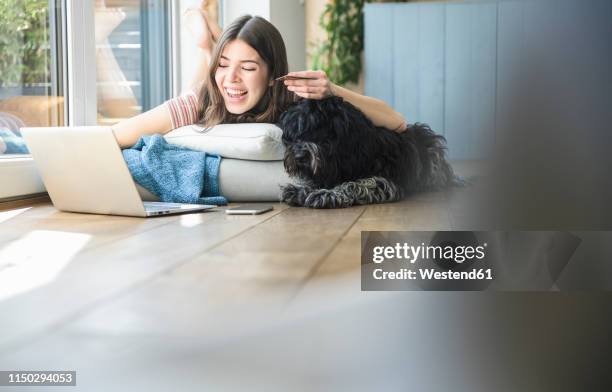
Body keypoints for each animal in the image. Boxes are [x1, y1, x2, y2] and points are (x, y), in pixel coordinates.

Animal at [276, 96, 460, 208]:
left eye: (319, 129)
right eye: (295, 134)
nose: (299, 156)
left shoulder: (386, 181)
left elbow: (356, 184)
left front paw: (326, 195)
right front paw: (299, 190)